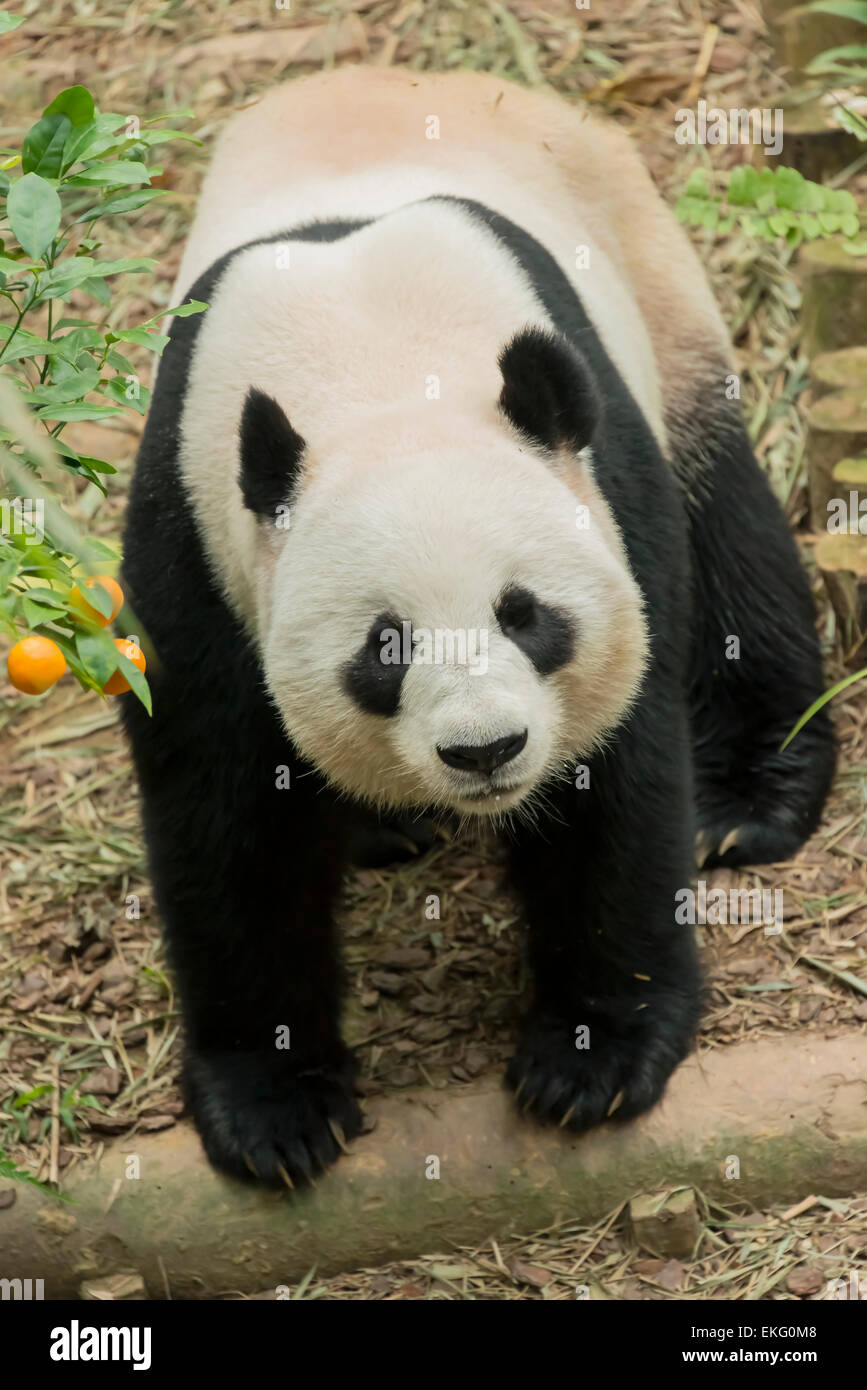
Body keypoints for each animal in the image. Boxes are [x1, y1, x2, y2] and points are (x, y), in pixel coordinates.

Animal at [118, 70, 839, 1189]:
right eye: (386, 647)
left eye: (524, 614)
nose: (485, 751)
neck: (372, 374)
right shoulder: (193, 536)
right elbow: (224, 810)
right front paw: (274, 1109)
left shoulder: (604, 497)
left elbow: (615, 778)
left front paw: (591, 1059)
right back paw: (385, 828)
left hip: (656, 290)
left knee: (730, 528)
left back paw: (749, 799)